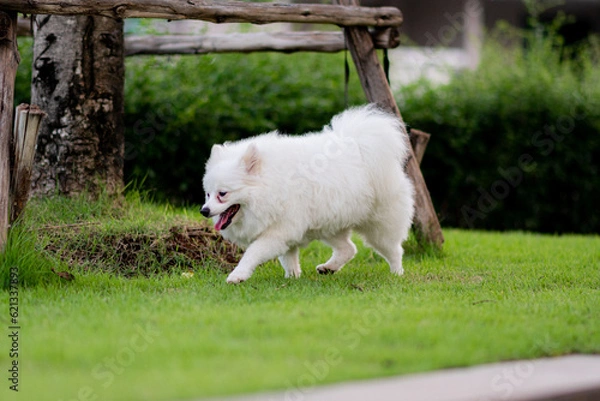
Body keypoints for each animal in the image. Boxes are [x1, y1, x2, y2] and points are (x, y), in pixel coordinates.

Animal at [202, 104, 412, 282]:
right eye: (208, 194)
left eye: (223, 193)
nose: (204, 211)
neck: (269, 185)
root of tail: (360, 144)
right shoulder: (287, 231)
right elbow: (288, 257)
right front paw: (292, 277)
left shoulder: (278, 231)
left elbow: (253, 253)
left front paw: (237, 275)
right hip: (329, 224)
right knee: (349, 249)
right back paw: (329, 268)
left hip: (379, 226)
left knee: (394, 249)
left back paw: (397, 272)